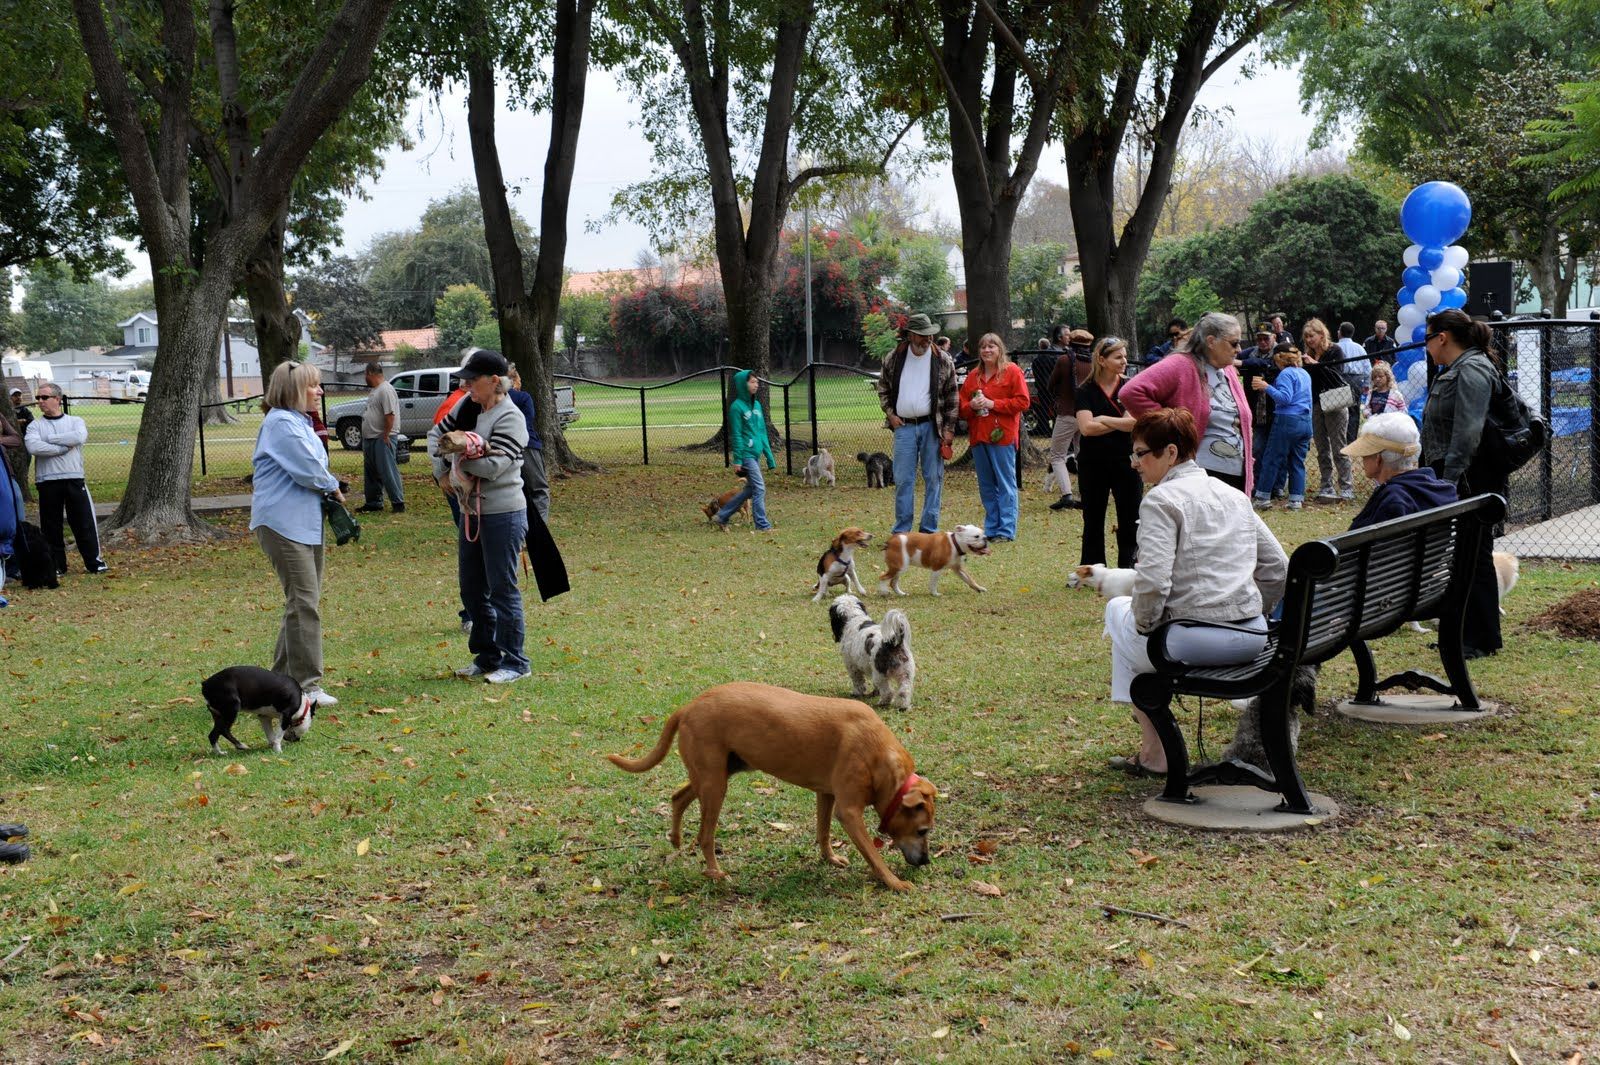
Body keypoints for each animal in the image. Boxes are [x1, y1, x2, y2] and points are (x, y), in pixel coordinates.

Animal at [608, 681, 934, 889]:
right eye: (923, 831)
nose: (926, 861)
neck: (879, 754)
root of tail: (688, 707)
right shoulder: (849, 811)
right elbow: (873, 855)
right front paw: (894, 882)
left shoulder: (826, 794)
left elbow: (823, 831)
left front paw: (829, 858)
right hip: (715, 786)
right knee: (704, 836)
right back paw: (715, 872)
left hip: (716, 774)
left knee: (678, 796)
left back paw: (676, 839)